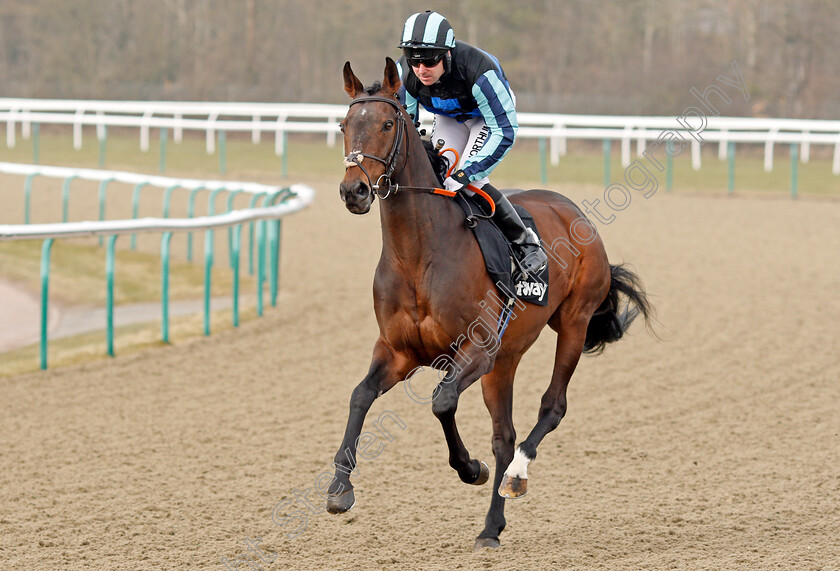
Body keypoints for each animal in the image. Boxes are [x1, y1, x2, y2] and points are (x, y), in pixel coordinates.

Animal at [328, 58, 656, 548]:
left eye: (387, 124)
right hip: (505, 360)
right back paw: (491, 526)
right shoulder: (398, 351)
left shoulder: (476, 350)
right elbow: (360, 396)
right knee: (505, 434)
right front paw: (339, 487)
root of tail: (572, 208)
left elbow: (442, 402)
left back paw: (515, 475)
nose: (355, 191)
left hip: (572, 323)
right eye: (344, 125)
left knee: (551, 408)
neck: (419, 255)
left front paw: (470, 469)